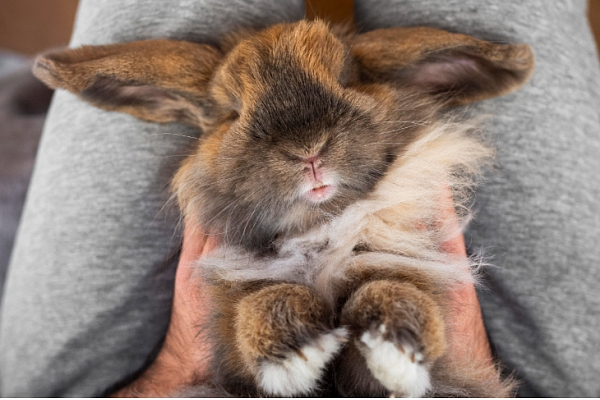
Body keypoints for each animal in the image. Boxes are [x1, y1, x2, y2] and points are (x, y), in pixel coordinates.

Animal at [32, 19, 536, 396]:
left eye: (349, 79)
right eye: (231, 111)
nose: (308, 150)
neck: (319, 226)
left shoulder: (409, 270)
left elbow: (393, 290)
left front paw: (397, 349)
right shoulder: (229, 329)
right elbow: (262, 303)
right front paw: (298, 350)